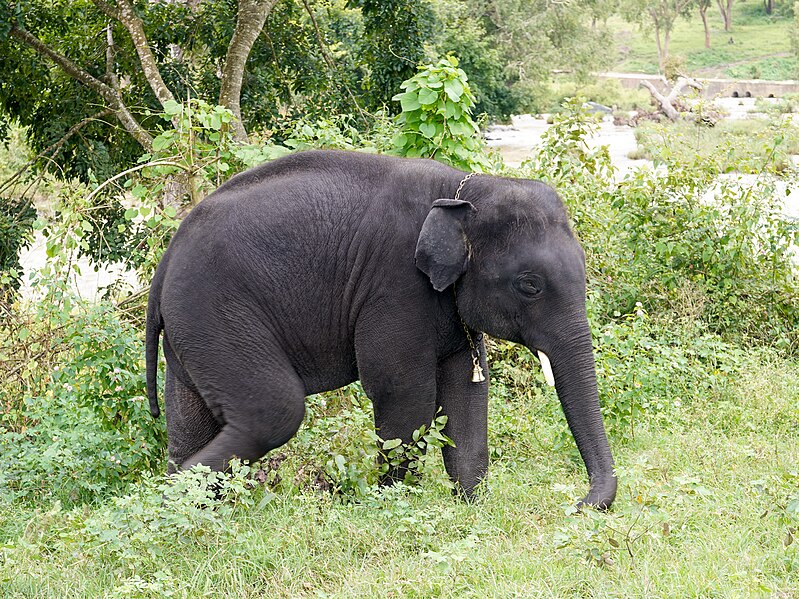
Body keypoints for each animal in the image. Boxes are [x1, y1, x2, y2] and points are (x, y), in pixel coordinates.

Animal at [145, 148, 620, 508]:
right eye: (530, 286)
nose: (577, 504)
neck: (466, 190)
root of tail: (165, 260)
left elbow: (466, 393)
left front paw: (471, 505)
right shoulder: (395, 285)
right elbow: (405, 393)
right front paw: (393, 501)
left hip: (193, 329)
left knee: (192, 423)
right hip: (216, 311)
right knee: (274, 411)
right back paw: (169, 502)